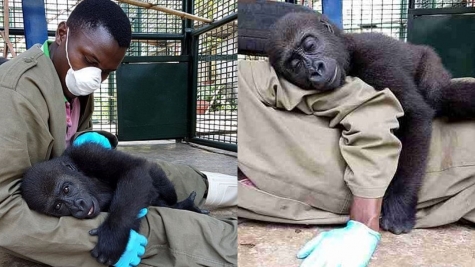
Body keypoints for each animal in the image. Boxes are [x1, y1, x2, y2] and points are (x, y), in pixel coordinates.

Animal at [20, 143, 206, 264]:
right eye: (58, 206)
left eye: (66, 189)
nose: (78, 206)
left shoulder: (88, 153)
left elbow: (133, 169)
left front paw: (113, 236)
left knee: (160, 181)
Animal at [270, 12, 475, 234]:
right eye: (296, 65)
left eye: (310, 45)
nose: (315, 69)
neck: (349, 53)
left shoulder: (374, 58)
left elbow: (415, 115)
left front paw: (399, 206)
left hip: (430, 60)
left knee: (438, 93)